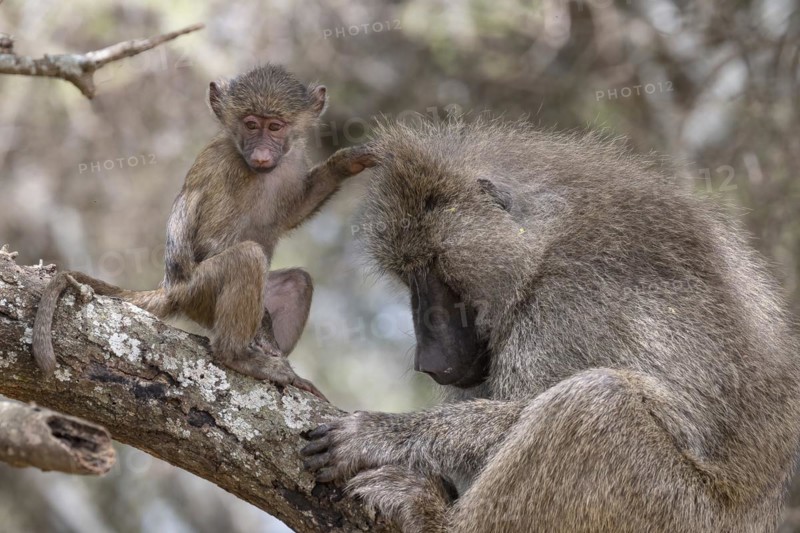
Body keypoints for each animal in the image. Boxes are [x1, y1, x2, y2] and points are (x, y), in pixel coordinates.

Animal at [33, 64, 375, 400]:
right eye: (251, 124)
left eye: (275, 126)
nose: (262, 154)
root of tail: (169, 288)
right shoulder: (230, 172)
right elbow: (213, 242)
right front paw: (263, 334)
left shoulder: (293, 161)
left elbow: (292, 214)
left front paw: (346, 162)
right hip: (197, 293)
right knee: (247, 258)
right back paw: (236, 355)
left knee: (297, 283)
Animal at [302, 116, 800, 532]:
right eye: (408, 275)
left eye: (437, 267)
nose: (429, 361)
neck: (542, 249)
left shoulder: (572, 306)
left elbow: (521, 414)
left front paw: (377, 433)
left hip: (675, 512)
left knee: (597, 400)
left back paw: (433, 519)